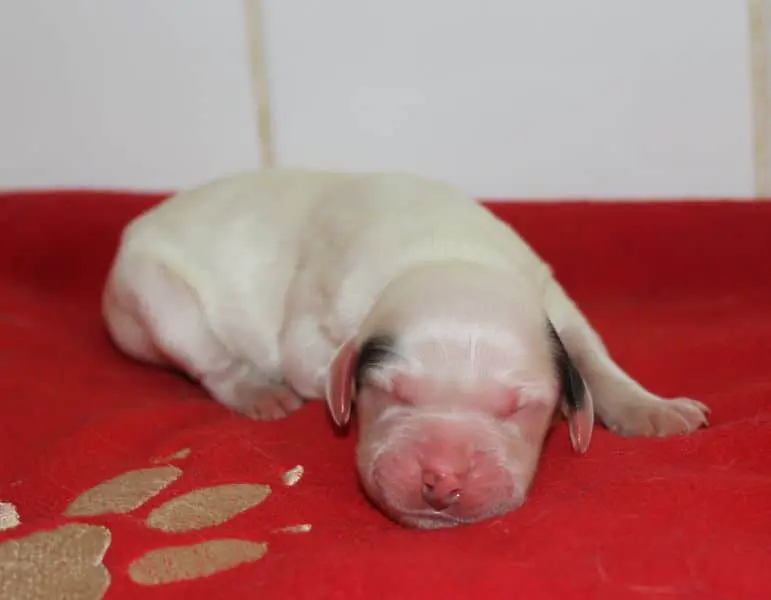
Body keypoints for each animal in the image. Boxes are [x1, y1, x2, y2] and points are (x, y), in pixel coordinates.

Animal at [102, 168, 709, 529]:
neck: (448, 255)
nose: (441, 479)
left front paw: (651, 408)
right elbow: (314, 366)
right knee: (209, 359)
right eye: (392, 394)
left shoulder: (553, 300)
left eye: (518, 409)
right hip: (156, 297)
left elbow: (593, 355)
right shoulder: (309, 327)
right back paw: (256, 389)